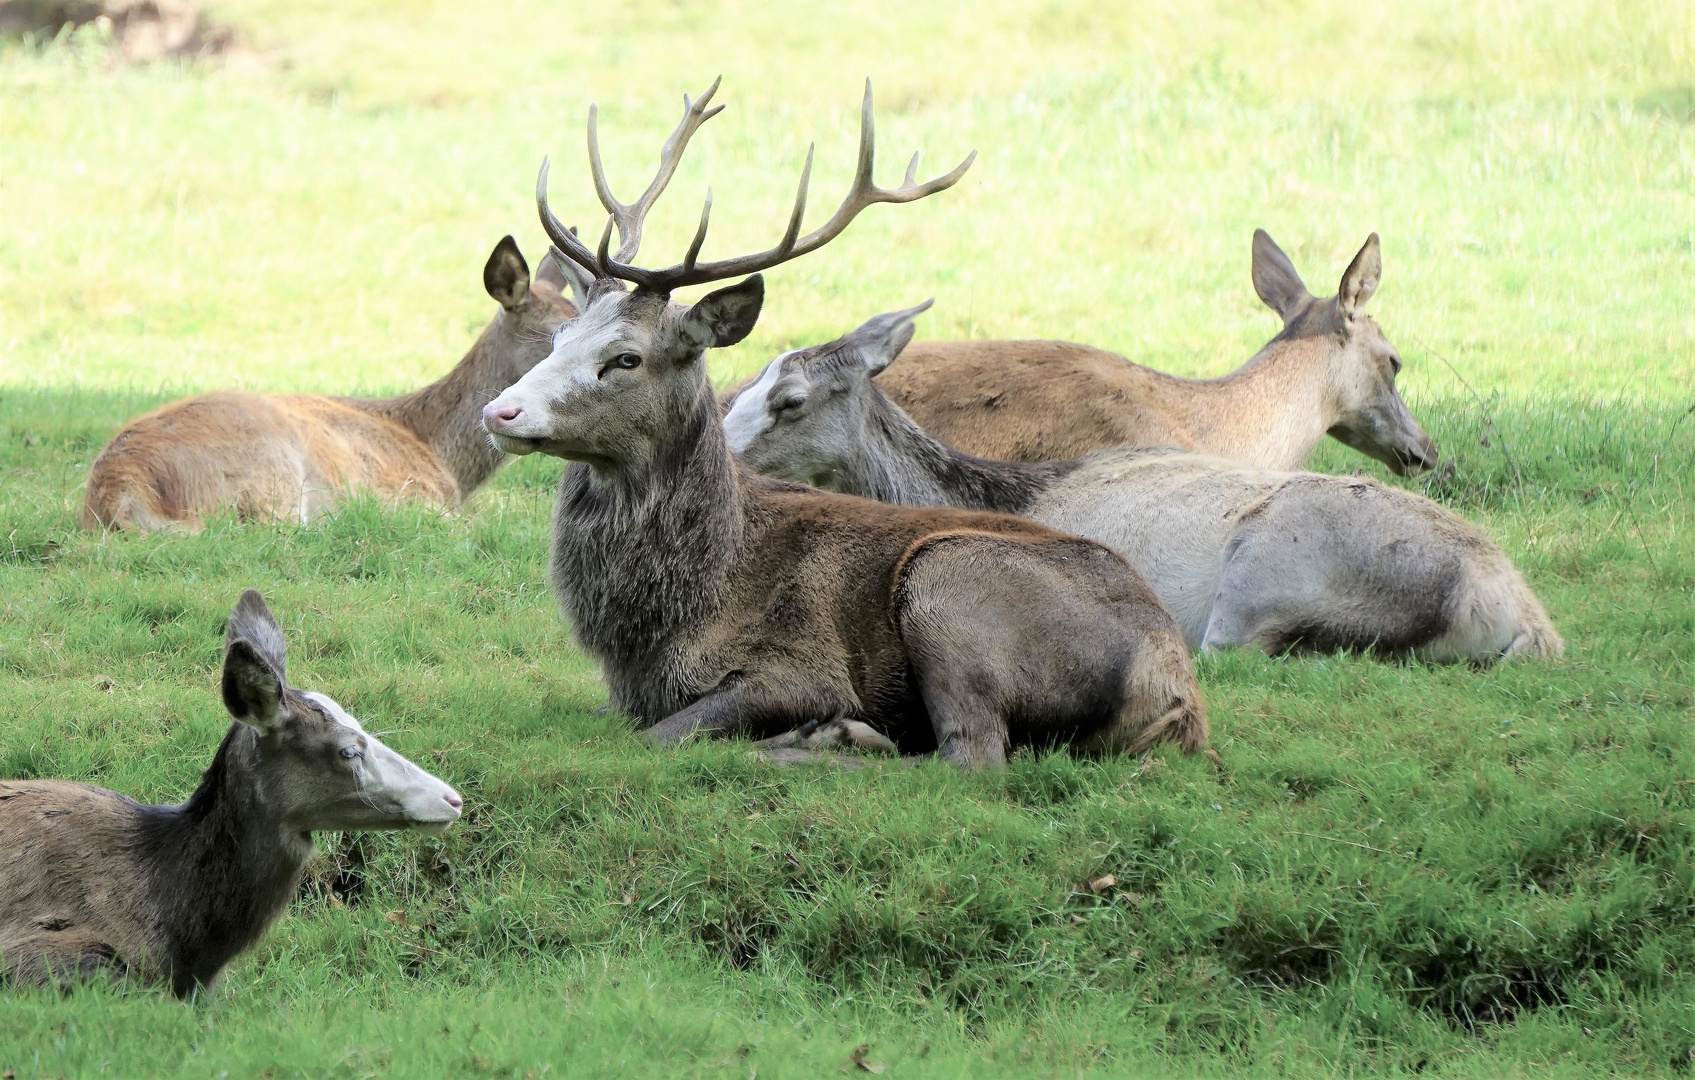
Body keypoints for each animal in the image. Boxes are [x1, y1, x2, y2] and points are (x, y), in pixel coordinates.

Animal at [484, 77, 1213, 766]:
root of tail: (1180, 698)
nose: (499, 410)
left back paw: (826, 740)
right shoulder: (618, 696)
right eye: (558, 338)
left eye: (625, 357)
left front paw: (808, 728)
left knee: (970, 754)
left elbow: (659, 738)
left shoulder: (800, 665)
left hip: (950, 581)